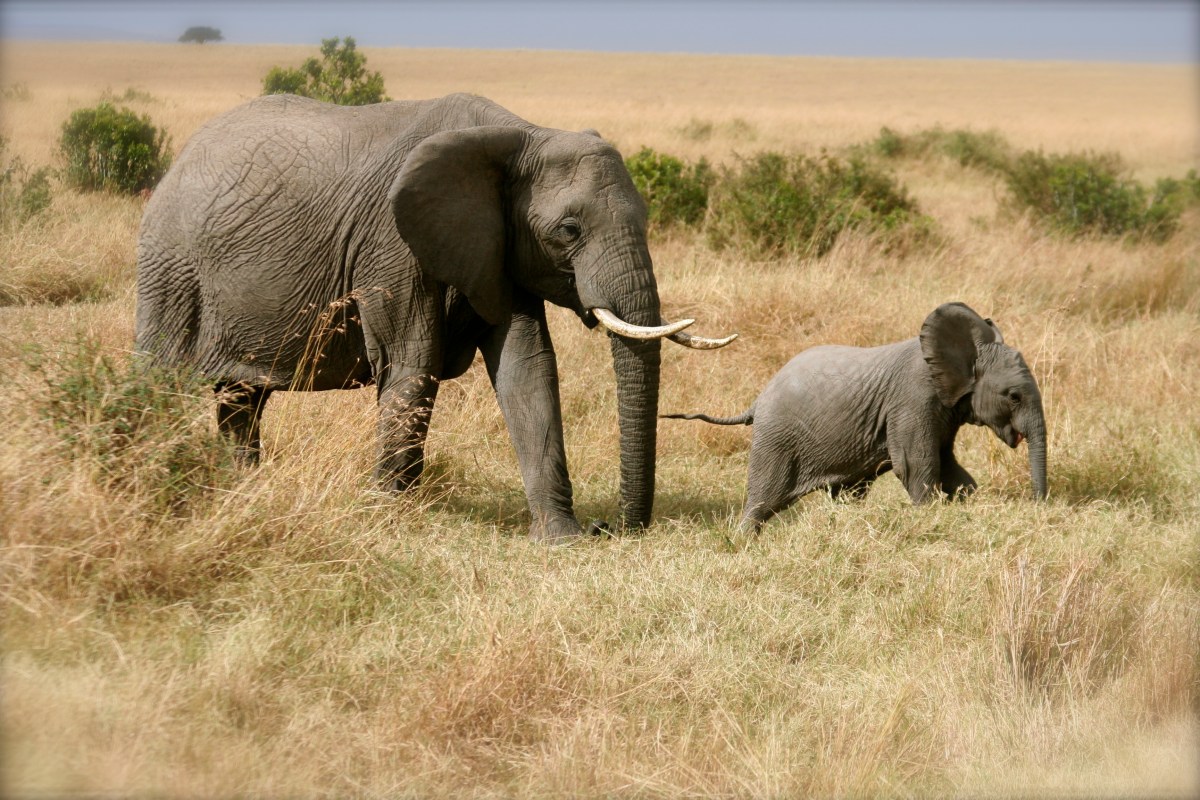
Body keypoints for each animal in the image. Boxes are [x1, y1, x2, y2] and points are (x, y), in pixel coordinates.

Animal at [135, 92, 736, 542]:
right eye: (568, 231)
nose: (609, 527)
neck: (521, 135)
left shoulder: (498, 248)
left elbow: (528, 369)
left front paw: (559, 539)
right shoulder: (392, 244)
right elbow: (411, 363)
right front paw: (384, 517)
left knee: (241, 400)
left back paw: (243, 491)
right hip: (169, 265)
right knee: (162, 380)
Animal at [663, 302, 1046, 532]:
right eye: (1013, 396)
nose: (1040, 506)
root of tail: (757, 401)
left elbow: (951, 467)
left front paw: (962, 502)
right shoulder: (913, 399)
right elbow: (917, 465)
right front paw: (929, 516)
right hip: (776, 438)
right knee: (763, 499)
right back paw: (743, 540)